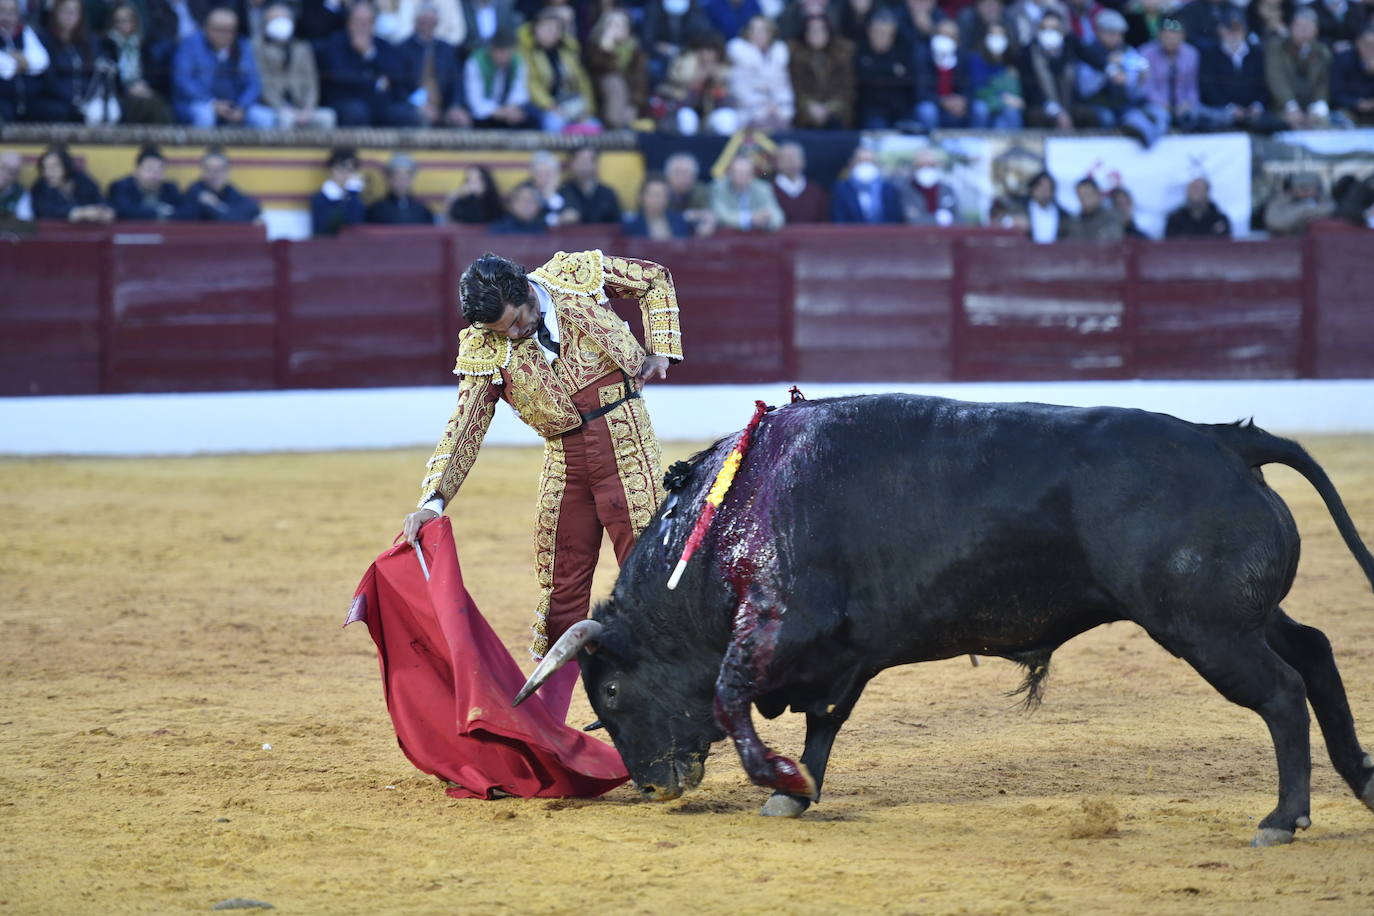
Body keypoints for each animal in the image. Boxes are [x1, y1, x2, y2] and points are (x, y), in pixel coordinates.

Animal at [516, 395, 1374, 845]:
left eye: (612, 694)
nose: (654, 787)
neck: (731, 511)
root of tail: (1226, 442)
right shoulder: (846, 653)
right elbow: (825, 721)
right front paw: (797, 790)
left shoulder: (780, 625)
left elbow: (731, 698)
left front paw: (781, 777)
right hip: (1239, 616)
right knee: (1315, 651)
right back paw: (1361, 780)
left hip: (1204, 627)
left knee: (1282, 692)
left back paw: (1283, 818)